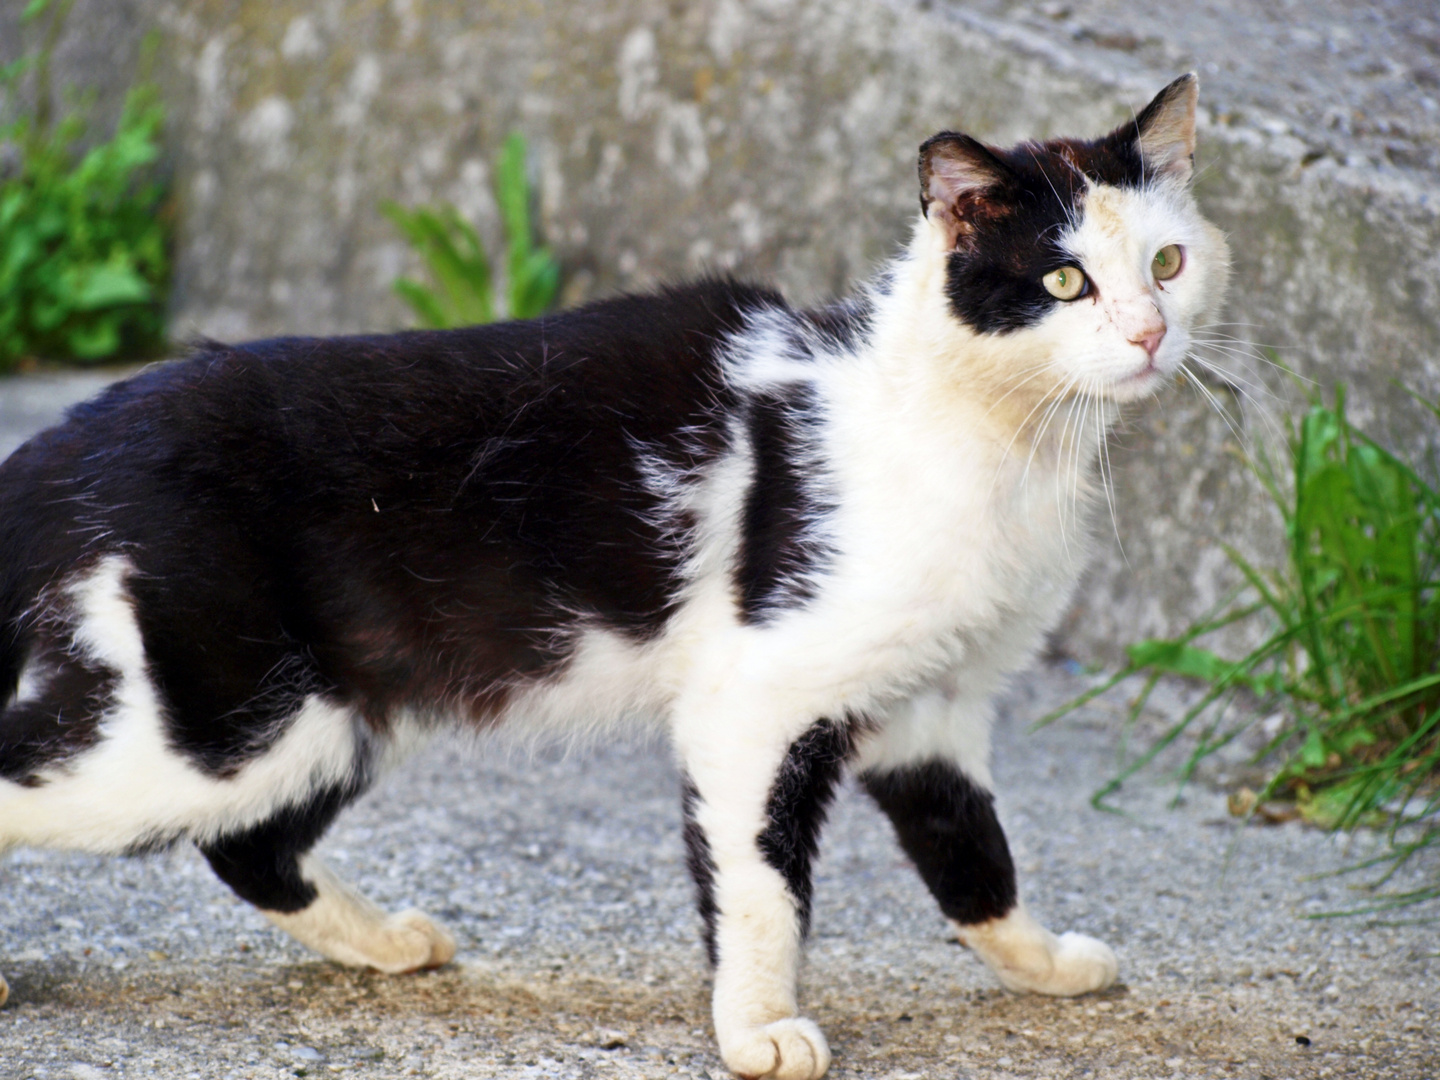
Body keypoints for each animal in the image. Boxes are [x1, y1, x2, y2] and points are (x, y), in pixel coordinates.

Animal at [0, 78, 1232, 1080]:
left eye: (1168, 263)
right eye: (1063, 280)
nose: (1148, 335)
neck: (989, 446)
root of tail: (87, 432)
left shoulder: (933, 706)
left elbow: (972, 850)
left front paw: (1041, 964)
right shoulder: (756, 697)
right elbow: (763, 889)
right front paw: (758, 1029)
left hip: (322, 715)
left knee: (251, 846)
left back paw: (385, 945)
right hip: (207, 728)